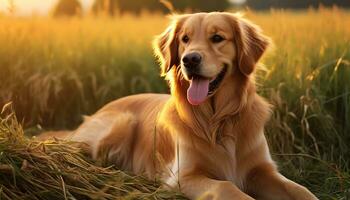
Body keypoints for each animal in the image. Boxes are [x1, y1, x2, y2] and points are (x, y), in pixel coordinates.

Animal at [39, 12, 318, 200]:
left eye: (218, 38)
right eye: (184, 39)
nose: (189, 59)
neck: (218, 121)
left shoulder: (262, 169)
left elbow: (300, 189)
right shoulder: (183, 177)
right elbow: (225, 185)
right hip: (121, 123)